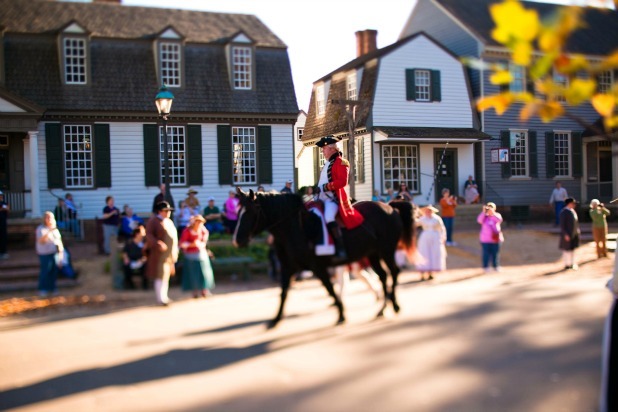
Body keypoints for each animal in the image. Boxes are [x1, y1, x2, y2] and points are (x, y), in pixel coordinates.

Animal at [231, 188, 414, 326]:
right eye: (238, 212)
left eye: (250, 212)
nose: (236, 240)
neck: (298, 228)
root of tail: (390, 207)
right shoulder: (288, 268)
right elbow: (283, 293)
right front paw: (275, 320)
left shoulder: (317, 267)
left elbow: (330, 289)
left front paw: (341, 314)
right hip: (373, 254)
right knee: (383, 276)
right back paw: (383, 308)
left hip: (386, 251)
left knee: (394, 272)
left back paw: (394, 305)